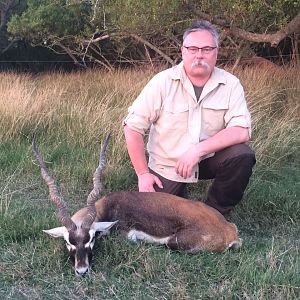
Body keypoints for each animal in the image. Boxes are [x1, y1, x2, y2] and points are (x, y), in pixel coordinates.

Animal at [32, 135, 241, 276]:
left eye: (91, 239)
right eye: (68, 242)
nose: (82, 270)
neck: (109, 206)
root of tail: (230, 230)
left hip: (174, 242)